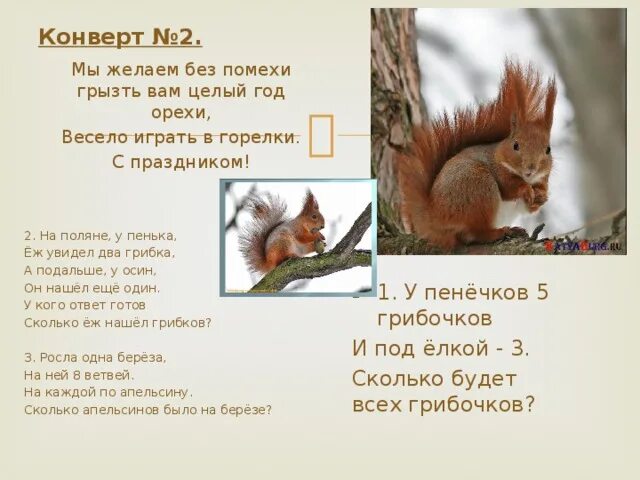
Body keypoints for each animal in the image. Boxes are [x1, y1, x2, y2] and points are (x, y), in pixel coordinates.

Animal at [396, 60, 557, 250]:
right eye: (515, 145)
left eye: (548, 149)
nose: (531, 169)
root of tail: (434, 218)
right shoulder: (499, 171)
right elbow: (510, 188)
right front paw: (526, 189)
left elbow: (531, 206)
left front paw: (541, 196)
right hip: (478, 188)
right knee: (474, 234)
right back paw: (499, 232)